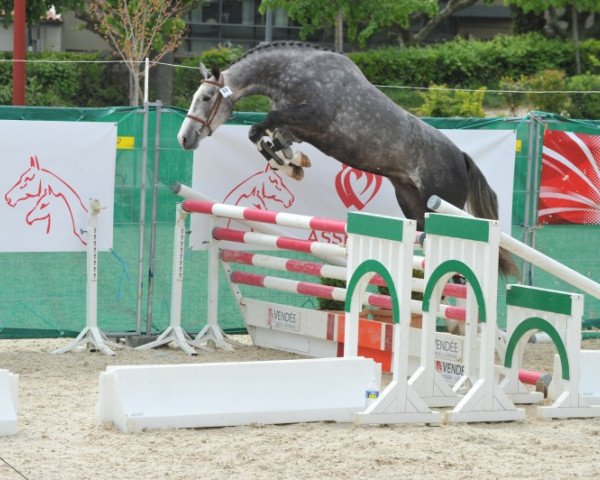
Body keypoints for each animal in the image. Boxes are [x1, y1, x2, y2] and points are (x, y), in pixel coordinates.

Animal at [177, 41, 516, 278]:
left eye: (206, 97)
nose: (185, 138)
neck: (293, 73)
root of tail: (460, 156)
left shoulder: (312, 117)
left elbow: (262, 126)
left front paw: (288, 161)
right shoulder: (296, 127)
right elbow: (265, 136)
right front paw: (290, 162)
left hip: (442, 205)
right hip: (412, 203)